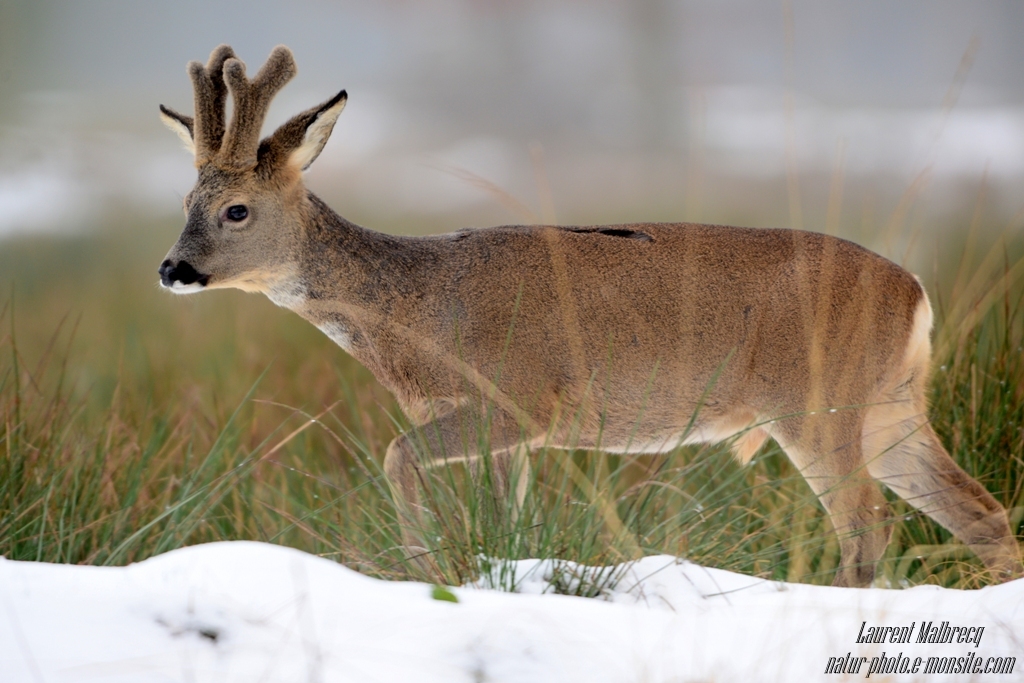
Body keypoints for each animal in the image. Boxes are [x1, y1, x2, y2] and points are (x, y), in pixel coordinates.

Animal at [155, 44, 1019, 589]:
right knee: (982, 512)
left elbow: (398, 455)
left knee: (868, 527)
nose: (172, 268)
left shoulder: (519, 398)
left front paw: (422, 566)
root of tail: (916, 290)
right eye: (184, 200)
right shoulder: (514, 433)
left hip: (817, 402)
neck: (421, 307)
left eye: (235, 209)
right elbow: (508, 516)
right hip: (888, 405)